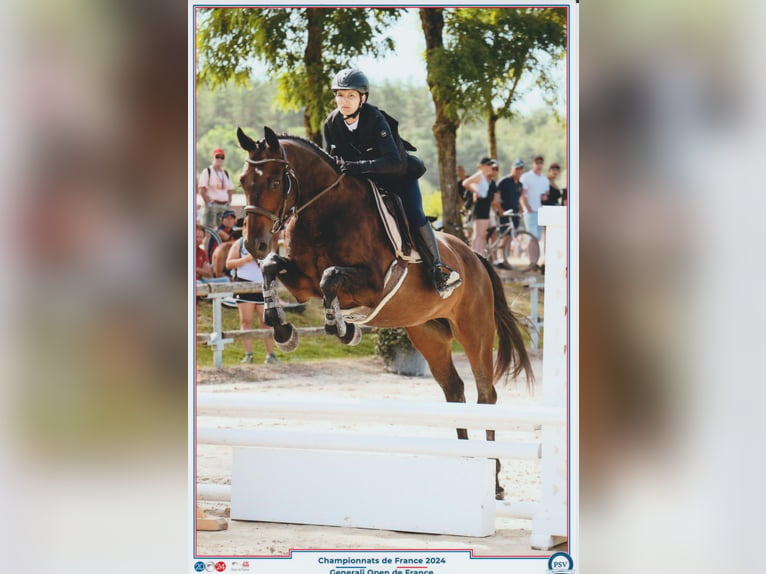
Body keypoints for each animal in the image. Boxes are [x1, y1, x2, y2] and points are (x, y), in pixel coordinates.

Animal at [236, 126, 536, 500]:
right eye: (243, 180)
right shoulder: (302, 282)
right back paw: (466, 463)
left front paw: (343, 328)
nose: (254, 243)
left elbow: (330, 276)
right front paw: (283, 330)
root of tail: (476, 257)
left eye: (276, 181)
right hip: (427, 333)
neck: (324, 212)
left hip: (475, 331)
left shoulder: (372, 283)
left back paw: (492, 479)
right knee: (454, 391)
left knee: (486, 395)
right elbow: (271, 267)